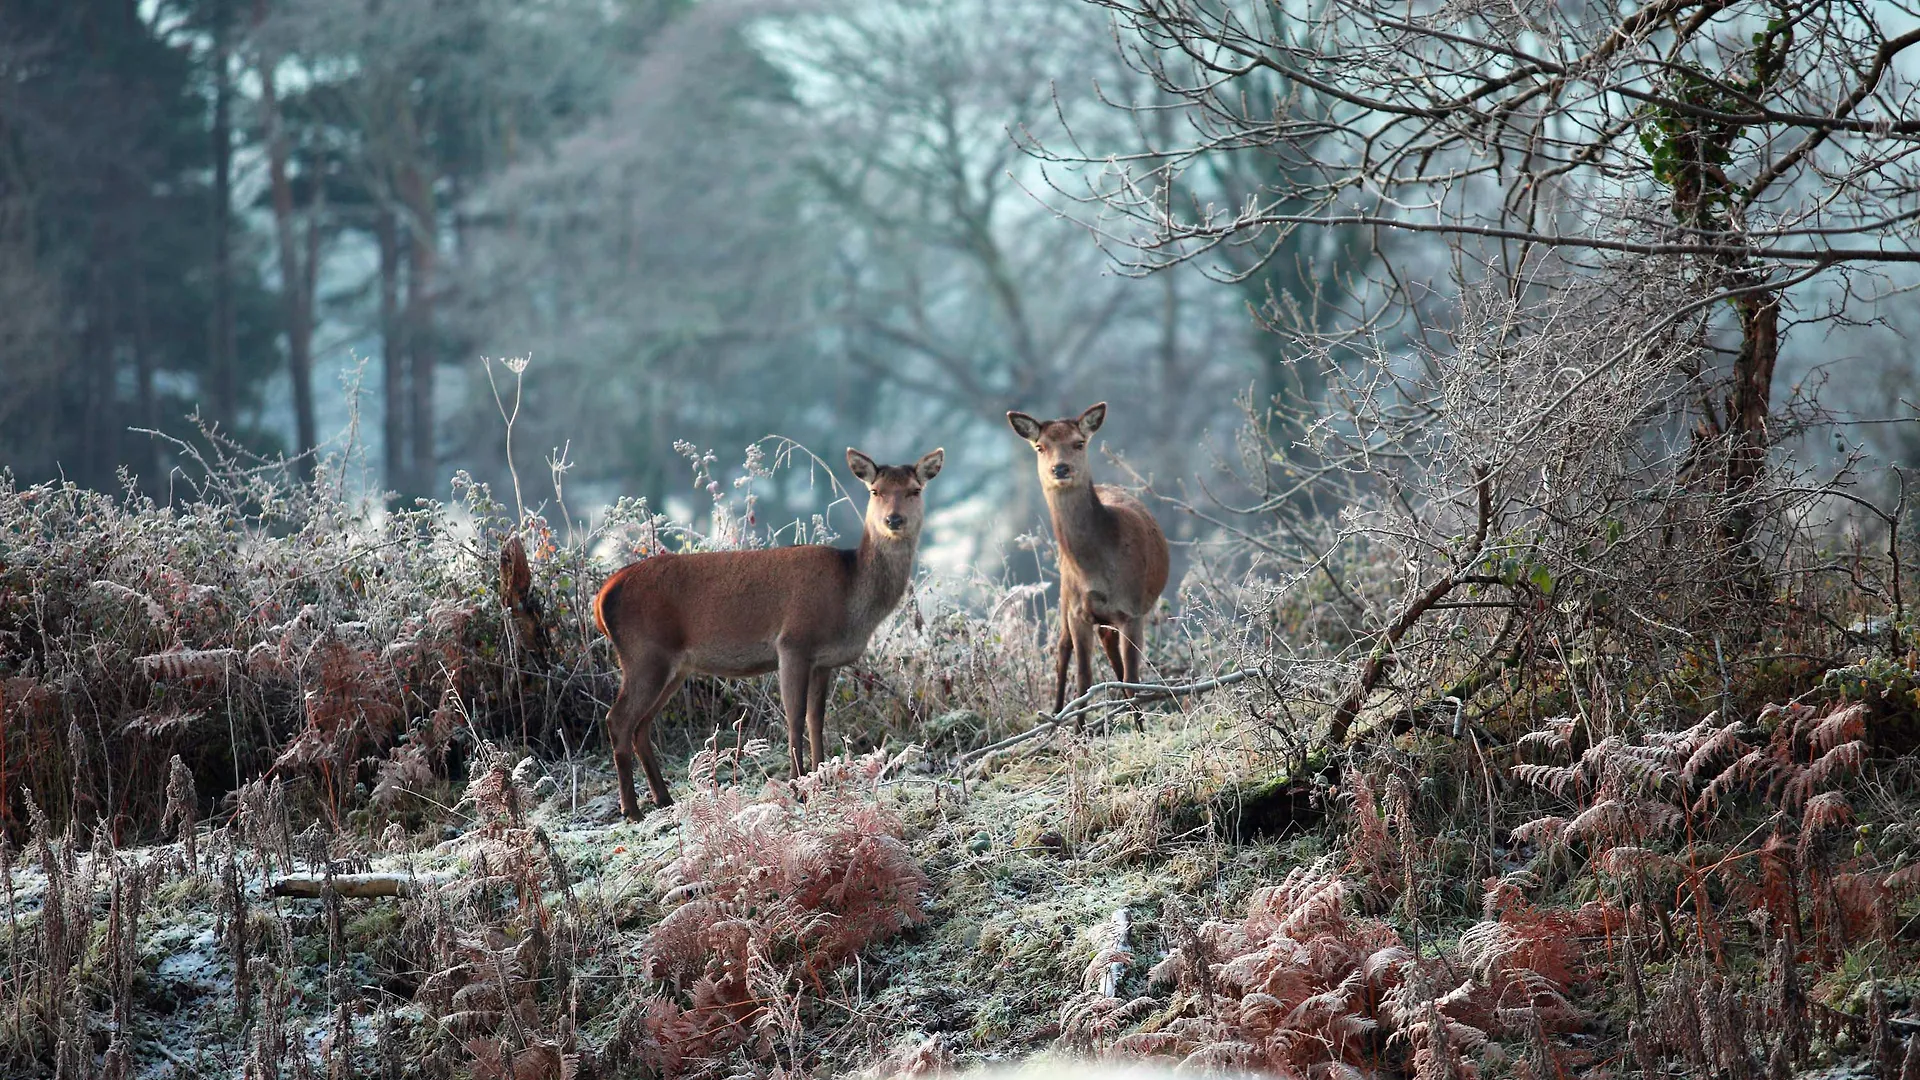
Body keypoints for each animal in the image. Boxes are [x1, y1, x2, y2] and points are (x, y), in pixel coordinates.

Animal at [587, 441, 940, 810]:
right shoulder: (793, 642)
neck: (850, 598)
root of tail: (602, 597)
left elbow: (816, 719)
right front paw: (798, 784)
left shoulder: (824, 661)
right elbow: (795, 717)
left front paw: (821, 778)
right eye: (875, 490)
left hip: (673, 666)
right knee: (618, 720)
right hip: (644, 653)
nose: (893, 519)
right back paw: (631, 809)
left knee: (641, 725)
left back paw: (663, 798)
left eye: (914, 490)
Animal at [1006, 401, 1167, 722]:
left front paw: (1140, 726)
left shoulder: (1132, 610)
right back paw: (1054, 715)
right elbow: (1083, 679)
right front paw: (1079, 730)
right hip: (1064, 594)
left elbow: (1131, 678)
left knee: (1114, 657)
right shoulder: (1078, 612)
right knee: (1061, 648)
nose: (1060, 468)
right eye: (1041, 446)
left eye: (1079, 443)